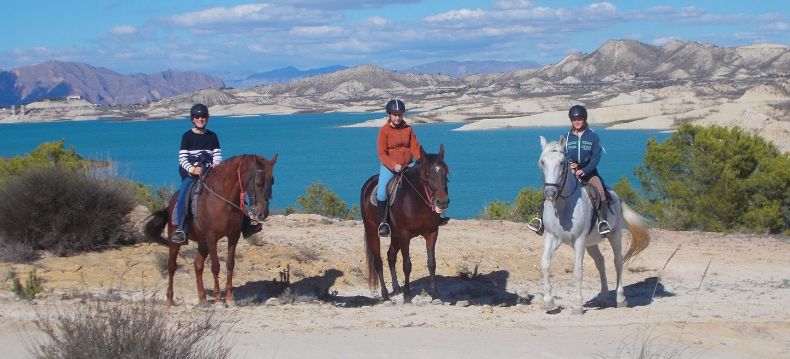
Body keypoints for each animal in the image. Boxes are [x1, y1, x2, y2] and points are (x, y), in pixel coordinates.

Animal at [145, 153, 278, 306]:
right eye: (259, 183)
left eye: (272, 181)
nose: (263, 213)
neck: (223, 200)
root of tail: (170, 205)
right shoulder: (211, 238)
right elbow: (215, 266)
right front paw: (218, 299)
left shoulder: (233, 236)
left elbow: (230, 264)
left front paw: (230, 297)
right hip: (175, 241)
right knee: (172, 266)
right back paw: (169, 299)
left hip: (202, 243)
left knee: (198, 265)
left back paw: (202, 298)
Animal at [360, 146, 448, 300]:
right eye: (427, 174)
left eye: (446, 172)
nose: (442, 202)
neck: (416, 199)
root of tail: (368, 184)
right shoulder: (405, 235)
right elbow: (407, 265)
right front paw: (407, 295)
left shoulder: (432, 233)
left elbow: (432, 263)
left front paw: (434, 294)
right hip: (373, 232)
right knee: (378, 262)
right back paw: (385, 295)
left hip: (395, 236)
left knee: (390, 257)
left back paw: (396, 289)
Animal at [540, 136, 652, 314]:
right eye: (543, 162)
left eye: (562, 162)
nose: (550, 193)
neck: (564, 205)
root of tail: (616, 196)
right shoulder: (552, 237)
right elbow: (545, 264)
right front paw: (549, 302)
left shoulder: (579, 241)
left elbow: (578, 271)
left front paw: (578, 306)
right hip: (591, 243)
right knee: (600, 262)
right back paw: (603, 297)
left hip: (614, 235)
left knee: (618, 261)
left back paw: (620, 298)